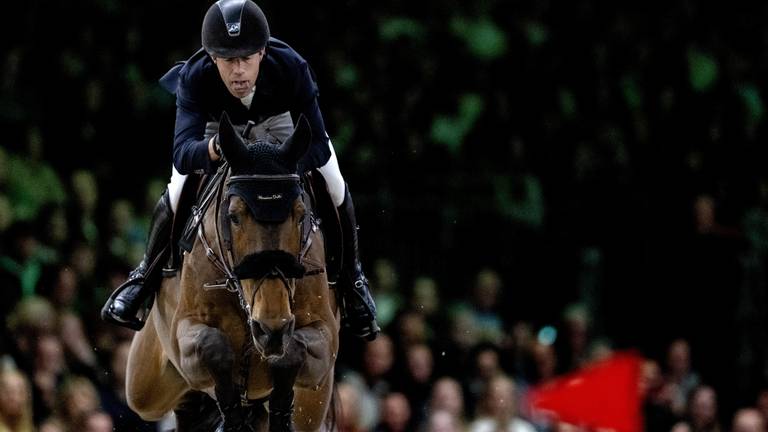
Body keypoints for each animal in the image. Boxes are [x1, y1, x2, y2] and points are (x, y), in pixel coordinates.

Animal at [124, 112, 340, 432]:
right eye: (234, 216)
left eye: (301, 215)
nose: (270, 328)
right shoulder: (183, 333)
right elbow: (214, 347)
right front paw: (233, 417)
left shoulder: (324, 336)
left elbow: (291, 353)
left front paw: (279, 409)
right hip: (144, 385)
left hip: (314, 403)